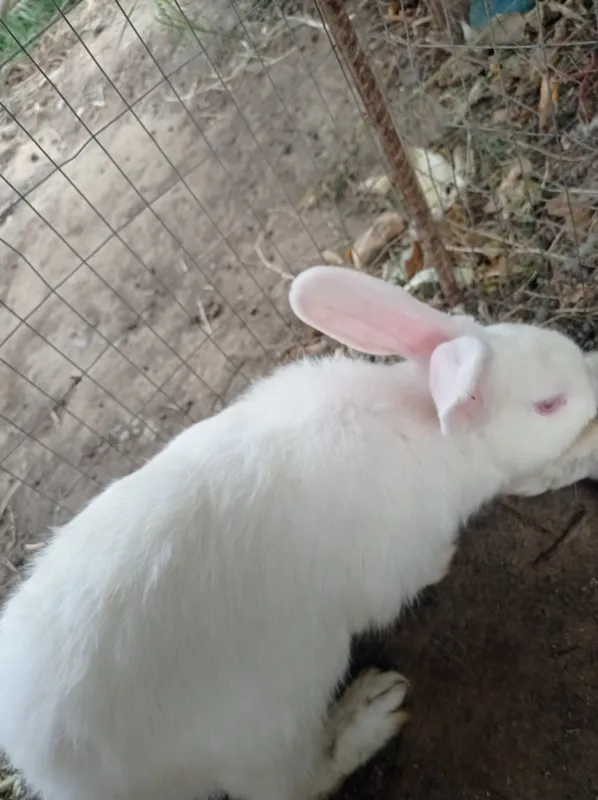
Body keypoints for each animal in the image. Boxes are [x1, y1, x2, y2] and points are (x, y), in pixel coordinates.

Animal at [0, 265, 597, 800]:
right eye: (549, 404)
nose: (594, 383)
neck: (427, 424)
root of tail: (50, 766)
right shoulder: (392, 569)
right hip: (276, 712)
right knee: (294, 785)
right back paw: (371, 711)